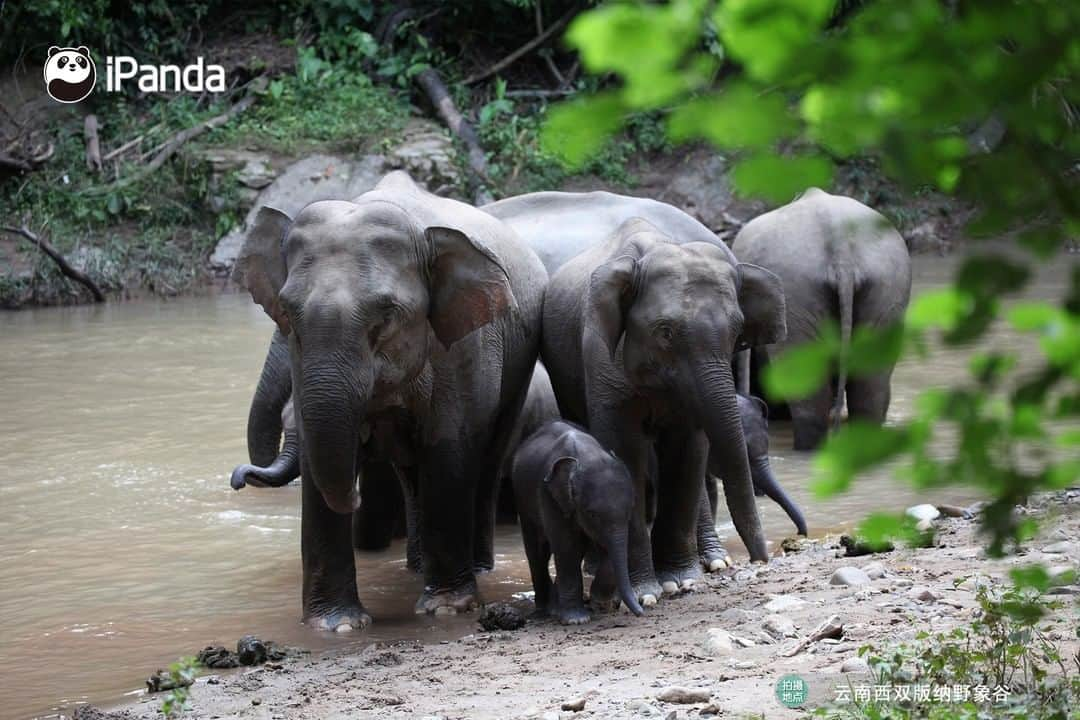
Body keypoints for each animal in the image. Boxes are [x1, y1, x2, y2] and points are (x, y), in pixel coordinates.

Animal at [231, 171, 544, 626]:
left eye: (387, 315)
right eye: (286, 313)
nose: (238, 478)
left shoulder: (465, 344)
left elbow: (448, 445)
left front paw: (447, 609)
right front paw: (336, 624)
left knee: (486, 459)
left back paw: (476, 569)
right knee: (411, 476)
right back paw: (415, 567)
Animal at [509, 423, 643, 626]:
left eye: (630, 510)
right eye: (592, 514)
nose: (641, 612)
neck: (586, 454)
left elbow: (601, 546)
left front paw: (600, 604)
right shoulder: (548, 494)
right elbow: (566, 546)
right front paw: (576, 619)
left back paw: (555, 607)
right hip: (522, 498)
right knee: (537, 550)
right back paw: (544, 610)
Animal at [540, 215, 786, 604]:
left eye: (736, 332)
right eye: (665, 332)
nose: (761, 559)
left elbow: (689, 450)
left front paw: (680, 581)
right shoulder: (600, 357)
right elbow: (625, 450)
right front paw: (645, 592)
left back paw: (712, 562)